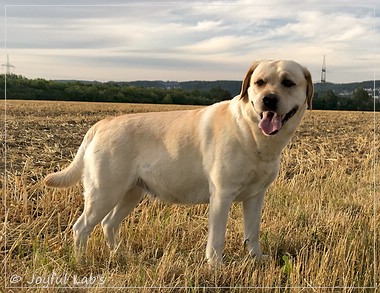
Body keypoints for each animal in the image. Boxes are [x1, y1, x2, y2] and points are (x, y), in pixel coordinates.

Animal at [44, 59, 314, 264]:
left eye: (288, 83)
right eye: (259, 83)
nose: (268, 100)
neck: (251, 131)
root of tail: (101, 124)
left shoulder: (256, 195)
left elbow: (253, 233)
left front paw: (256, 259)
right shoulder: (221, 194)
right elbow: (216, 239)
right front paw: (216, 266)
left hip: (130, 193)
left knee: (109, 224)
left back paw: (119, 254)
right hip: (104, 192)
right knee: (81, 227)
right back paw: (81, 262)